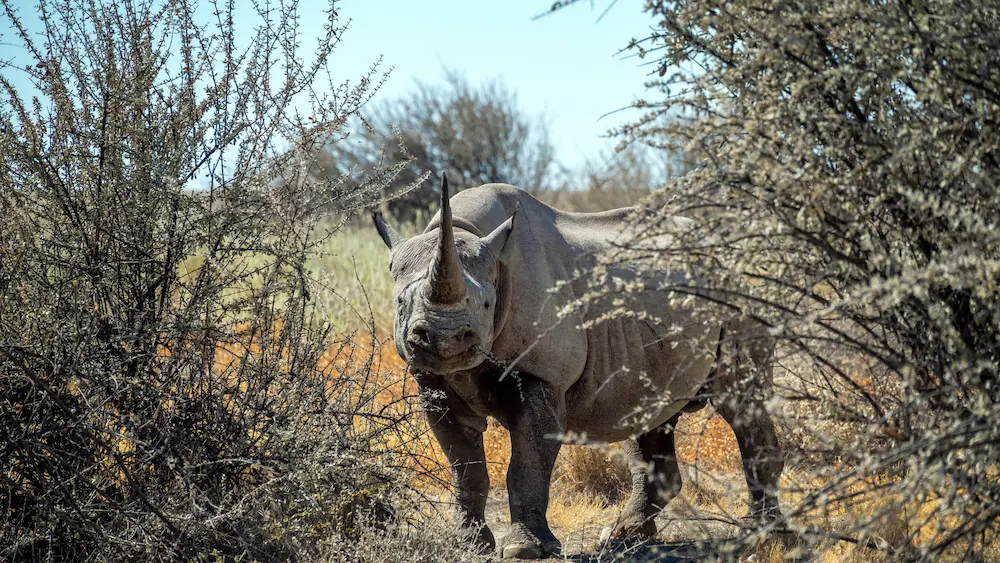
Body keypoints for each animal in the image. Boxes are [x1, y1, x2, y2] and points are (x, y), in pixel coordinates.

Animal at [372, 177, 783, 558]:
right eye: (401, 304)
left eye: (486, 304)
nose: (447, 339)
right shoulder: (434, 379)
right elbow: (464, 466)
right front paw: (469, 544)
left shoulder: (541, 374)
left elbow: (527, 465)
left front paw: (525, 550)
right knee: (651, 408)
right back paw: (626, 536)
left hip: (741, 295)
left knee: (742, 401)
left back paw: (762, 538)